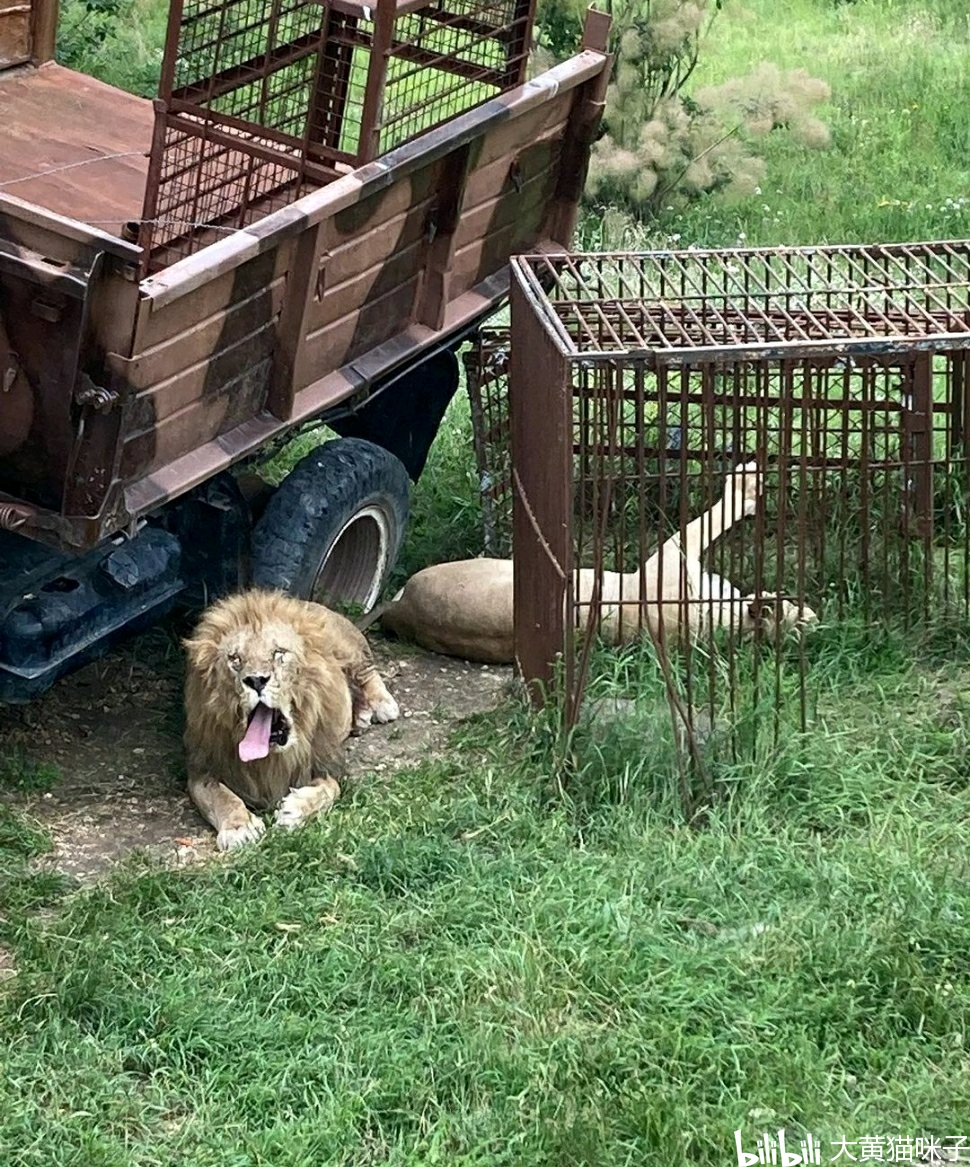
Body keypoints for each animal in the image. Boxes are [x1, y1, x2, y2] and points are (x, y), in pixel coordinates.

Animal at [182, 592, 399, 849]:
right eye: (235, 659)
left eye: (279, 653)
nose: (256, 680)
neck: (271, 758)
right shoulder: (202, 768)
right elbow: (221, 797)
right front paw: (239, 828)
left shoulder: (326, 764)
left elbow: (330, 789)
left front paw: (295, 809)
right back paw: (361, 716)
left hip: (347, 648)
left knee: (367, 670)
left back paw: (382, 704)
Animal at [368, 464, 817, 667]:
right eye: (801, 614)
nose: (817, 615)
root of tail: (401, 609)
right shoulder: (674, 554)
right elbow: (714, 520)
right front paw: (751, 484)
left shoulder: (671, 554)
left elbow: (713, 518)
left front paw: (747, 484)